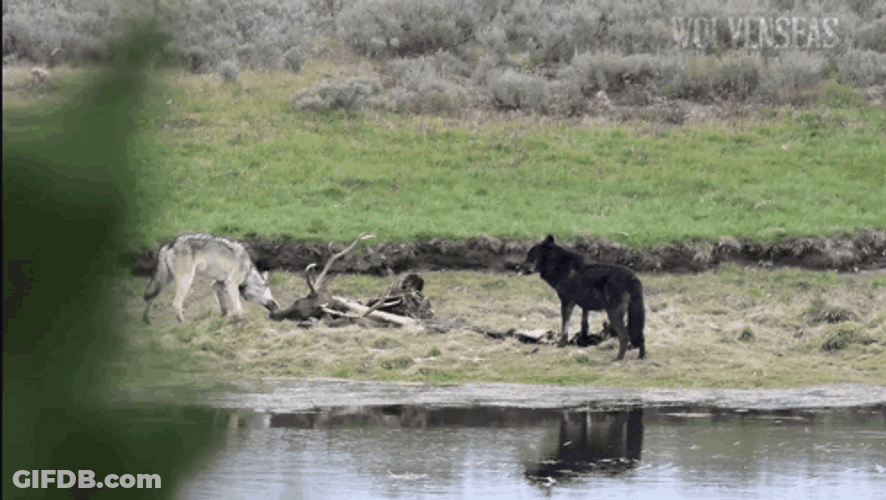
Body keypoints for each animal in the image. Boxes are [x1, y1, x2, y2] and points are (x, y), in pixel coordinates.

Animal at [142, 233, 279, 323]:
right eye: (269, 292)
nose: (276, 306)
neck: (247, 270)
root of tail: (169, 244)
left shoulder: (217, 284)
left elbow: (224, 306)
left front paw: (224, 317)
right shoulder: (231, 284)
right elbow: (238, 307)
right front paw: (241, 320)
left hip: (164, 281)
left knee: (150, 297)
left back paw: (146, 320)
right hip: (186, 281)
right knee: (176, 303)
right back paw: (183, 323)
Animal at [517, 235, 646, 360]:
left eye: (531, 256)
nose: (517, 268)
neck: (561, 266)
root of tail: (633, 277)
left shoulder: (566, 303)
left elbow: (564, 327)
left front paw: (561, 344)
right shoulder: (585, 307)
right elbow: (584, 326)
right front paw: (583, 342)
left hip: (614, 315)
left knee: (625, 336)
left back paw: (618, 359)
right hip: (632, 315)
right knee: (641, 335)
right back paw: (641, 357)